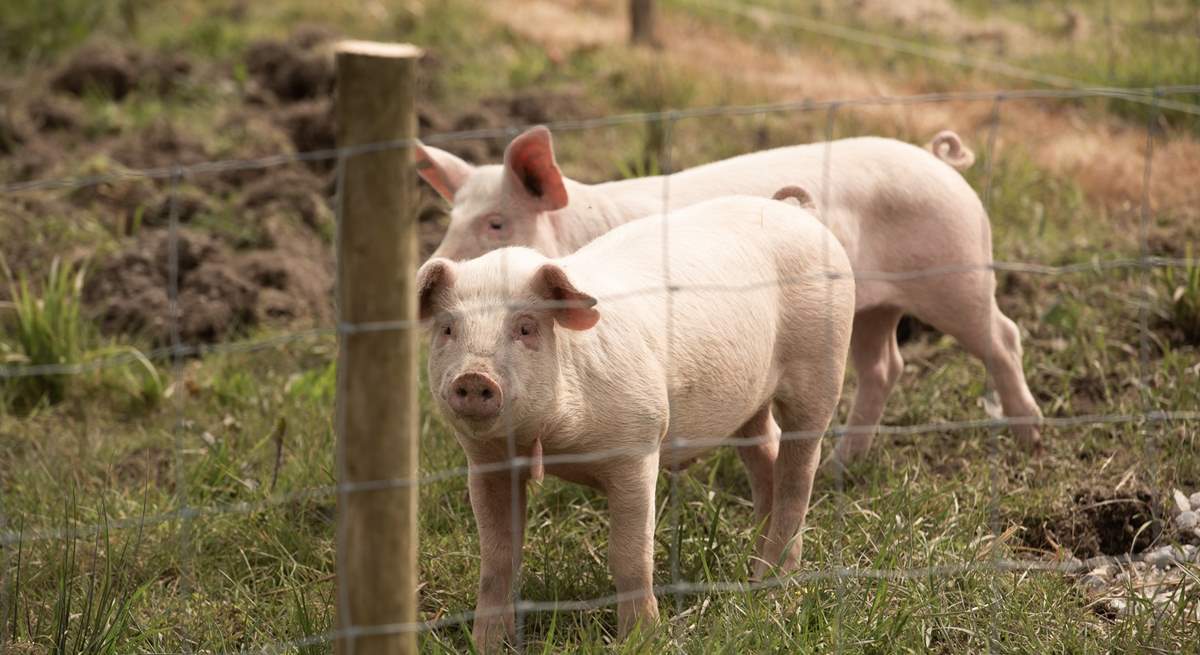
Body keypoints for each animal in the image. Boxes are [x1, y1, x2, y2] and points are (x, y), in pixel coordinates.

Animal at [415, 127, 1041, 460]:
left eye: (497, 223)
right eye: (451, 217)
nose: (428, 268)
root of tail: (938, 161)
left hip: (957, 272)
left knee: (1004, 336)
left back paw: (1028, 434)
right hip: (873, 305)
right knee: (885, 365)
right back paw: (841, 465)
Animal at [417, 194, 859, 647]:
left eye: (525, 328)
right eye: (448, 329)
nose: (474, 376)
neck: (551, 445)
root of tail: (793, 209)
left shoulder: (638, 443)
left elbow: (629, 555)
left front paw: (642, 638)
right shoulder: (486, 461)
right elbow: (497, 558)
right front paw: (486, 643)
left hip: (823, 367)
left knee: (797, 475)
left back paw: (774, 583)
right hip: (749, 400)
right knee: (765, 456)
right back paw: (755, 575)